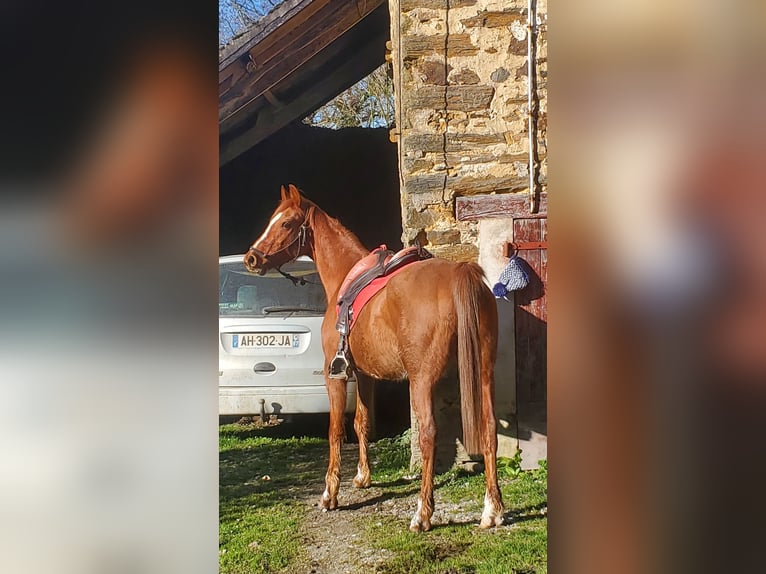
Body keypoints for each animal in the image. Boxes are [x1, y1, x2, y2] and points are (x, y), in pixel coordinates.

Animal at [243, 184, 504, 531]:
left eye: (285, 223)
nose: (251, 258)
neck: (345, 277)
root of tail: (459, 273)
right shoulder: (365, 376)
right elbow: (362, 423)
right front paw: (363, 477)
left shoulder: (335, 376)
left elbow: (336, 431)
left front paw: (330, 494)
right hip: (484, 373)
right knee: (489, 429)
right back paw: (493, 510)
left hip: (422, 381)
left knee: (428, 434)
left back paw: (423, 513)